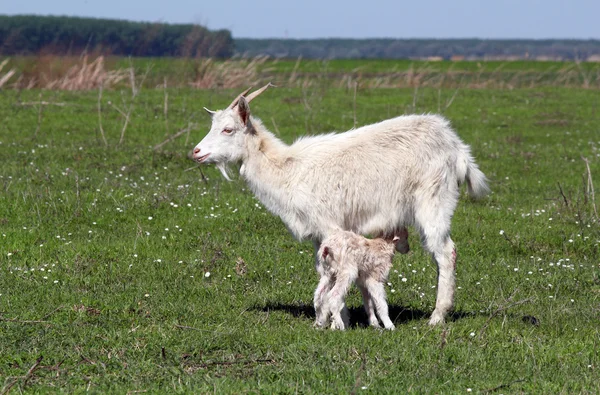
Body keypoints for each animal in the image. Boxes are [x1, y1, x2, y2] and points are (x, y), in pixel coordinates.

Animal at [192, 84, 488, 324]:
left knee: (446, 252)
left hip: (434, 200)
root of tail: (457, 147)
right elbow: (324, 270)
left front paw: (337, 318)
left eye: (228, 129)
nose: (196, 152)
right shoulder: (317, 235)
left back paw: (437, 317)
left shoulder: (330, 225)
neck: (288, 169)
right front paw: (332, 316)